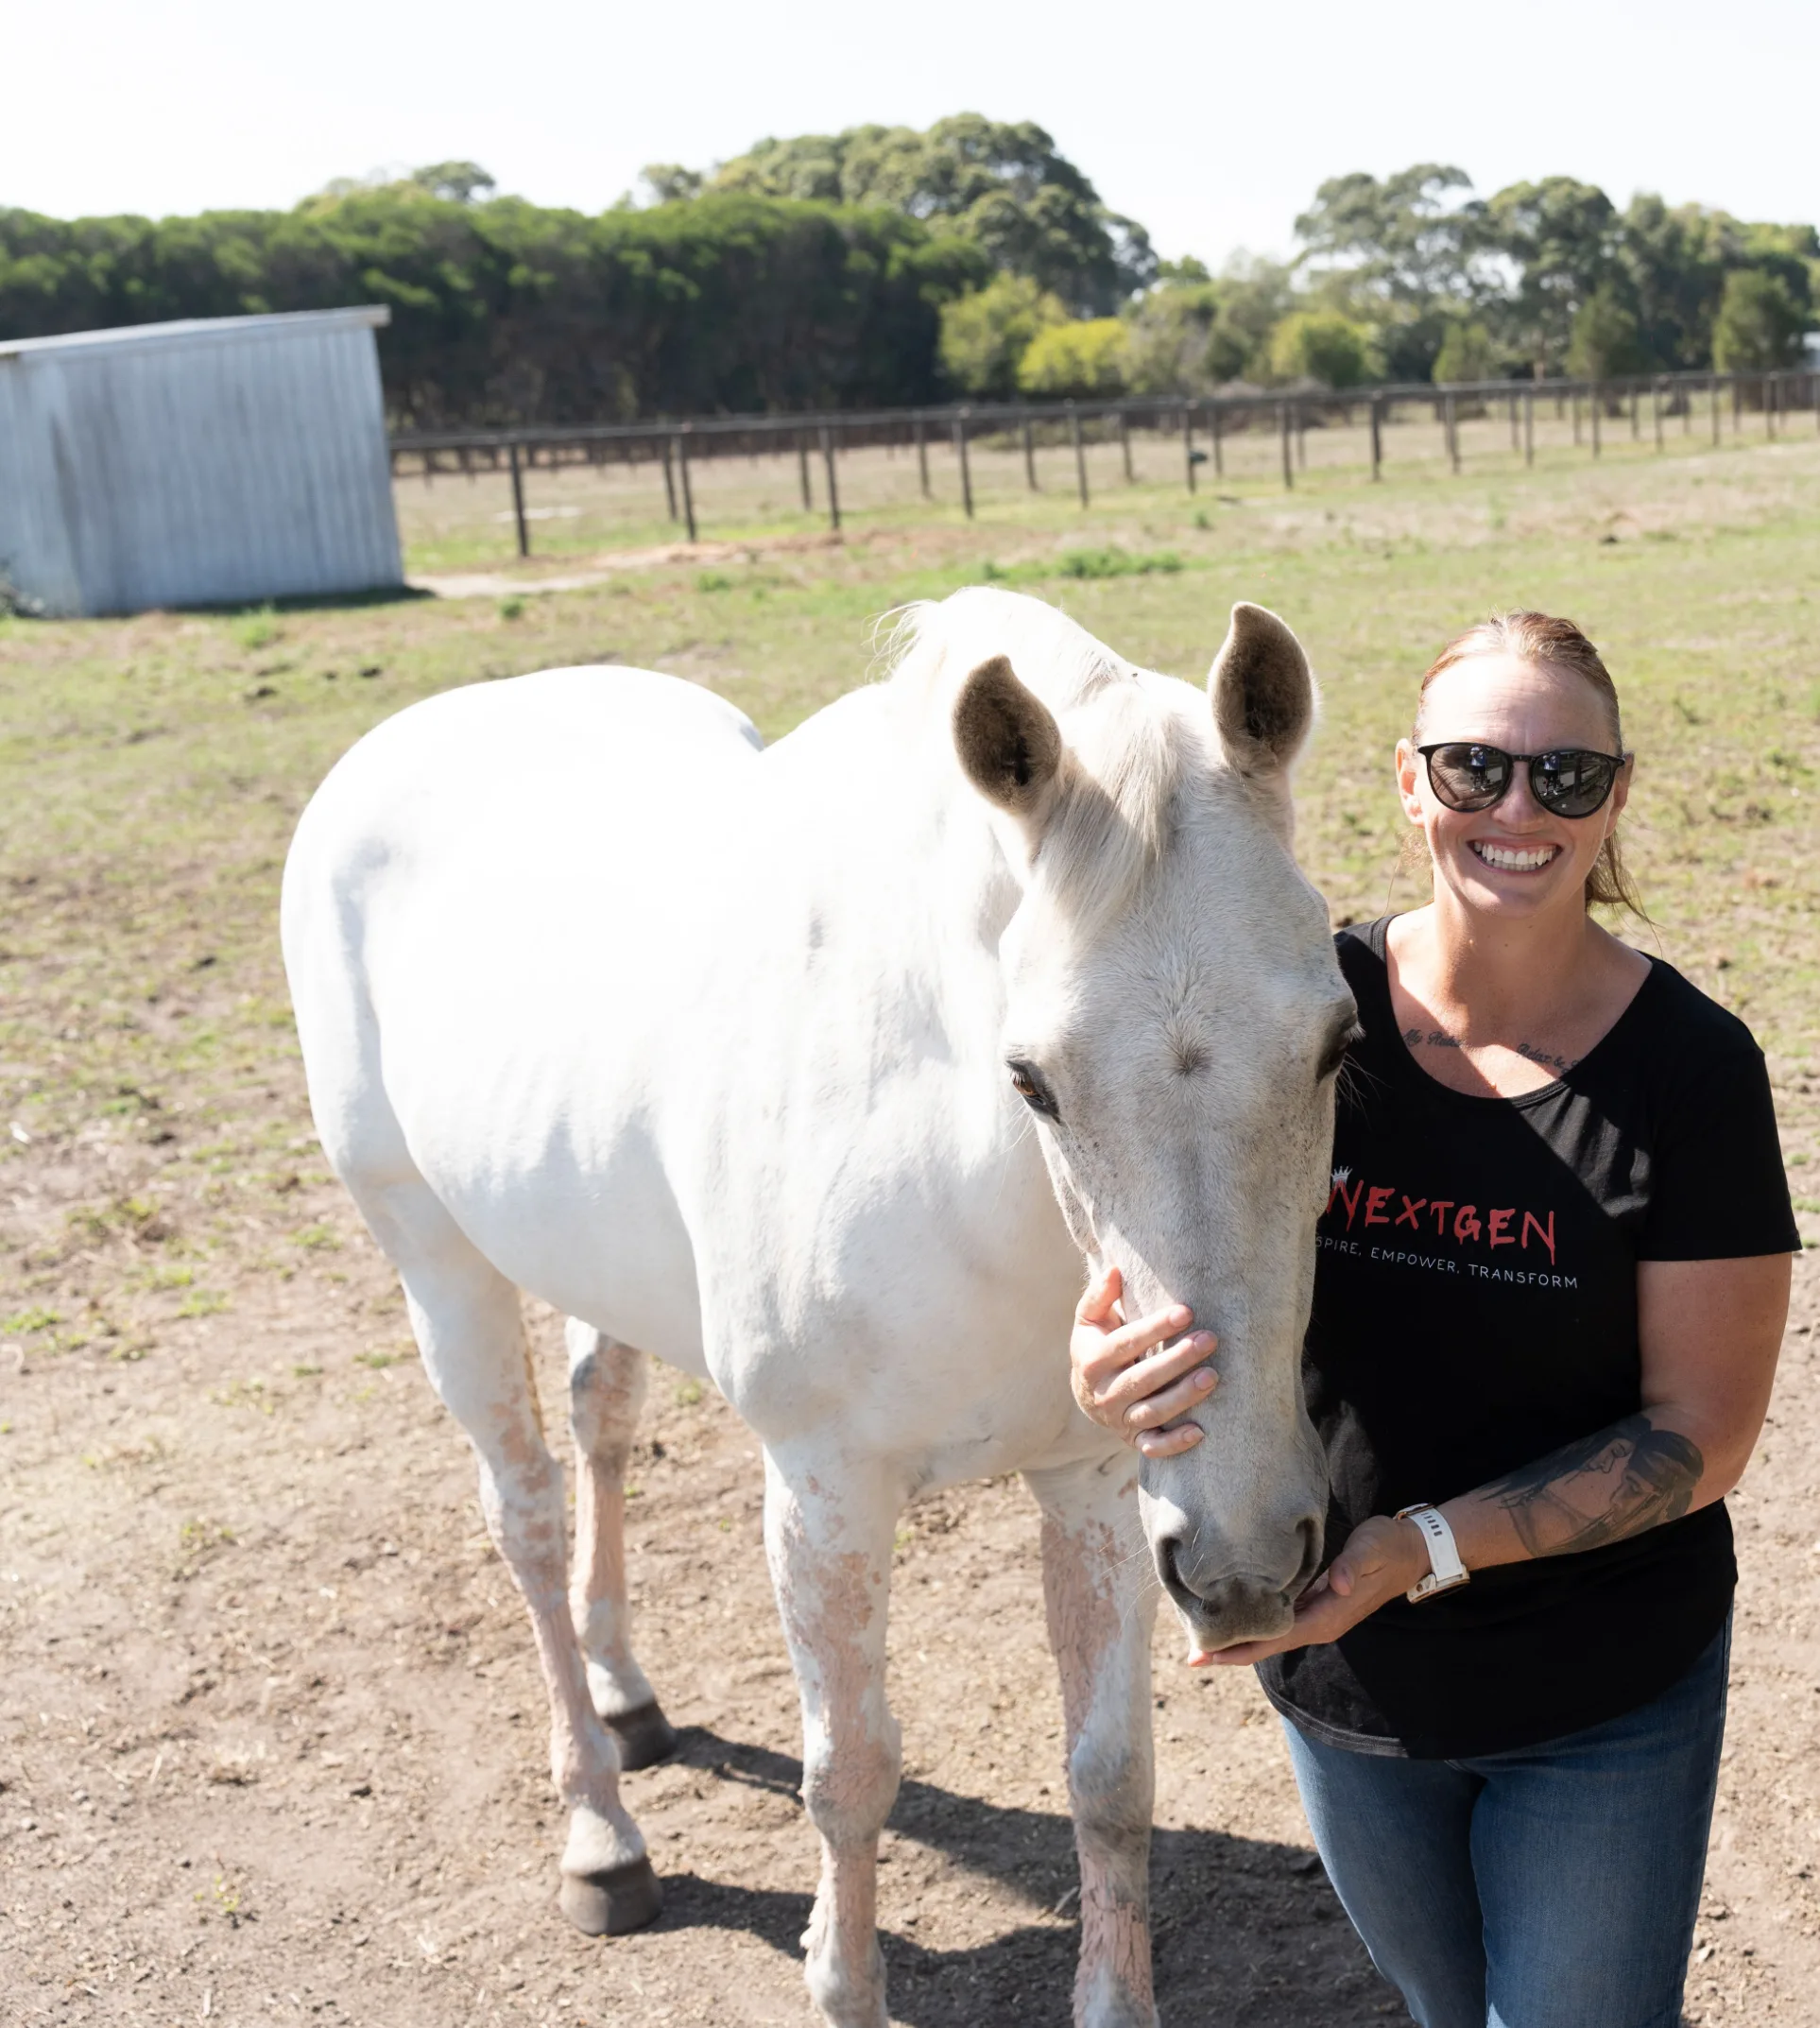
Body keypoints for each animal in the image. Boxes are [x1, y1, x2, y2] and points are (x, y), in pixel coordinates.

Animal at [280, 588, 1352, 2028]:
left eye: (1340, 1041)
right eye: (1032, 1076)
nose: (1245, 1562)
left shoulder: (1093, 1479)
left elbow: (1109, 1774)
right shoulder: (824, 1487)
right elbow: (848, 1771)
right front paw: (843, 1985)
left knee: (600, 1421)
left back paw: (627, 1695)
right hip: (436, 1262)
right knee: (526, 1516)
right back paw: (600, 1834)